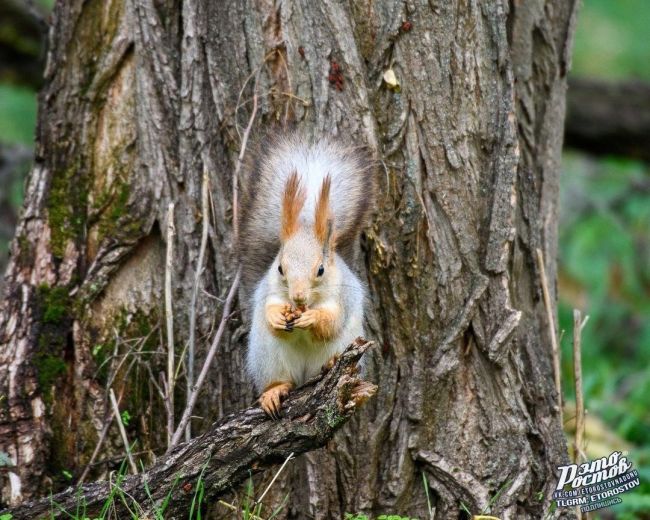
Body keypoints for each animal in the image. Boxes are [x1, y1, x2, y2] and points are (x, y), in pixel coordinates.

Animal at [240, 134, 374, 418]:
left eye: (320, 270)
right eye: (280, 268)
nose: (298, 296)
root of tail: (304, 378)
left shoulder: (342, 298)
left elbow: (331, 322)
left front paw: (312, 318)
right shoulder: (268, 290)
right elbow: (269, 310)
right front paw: (277, 317)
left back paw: (331, 363)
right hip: (267, 357)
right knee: (280, 380)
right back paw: (274, 392)